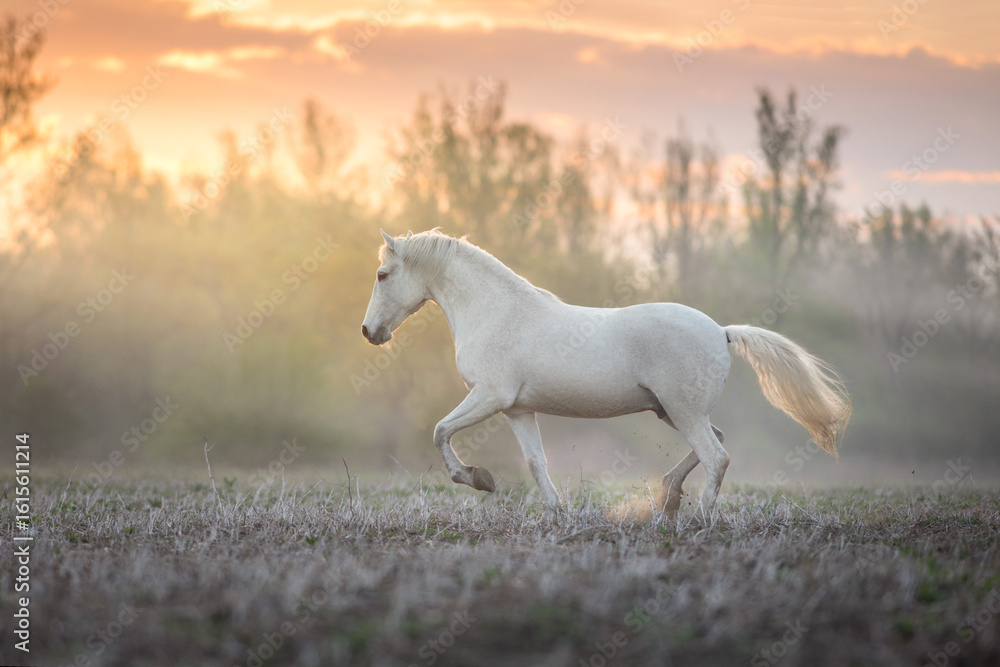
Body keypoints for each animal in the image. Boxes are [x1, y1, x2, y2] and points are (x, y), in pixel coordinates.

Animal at [361, 229, 851, 518]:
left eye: (382, 274)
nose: (370, 332)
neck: (496, 311)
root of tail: (722, 331)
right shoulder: (516, 410)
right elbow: (536, 461)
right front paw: (554, 511)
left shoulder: (488, 397)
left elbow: (441, 431)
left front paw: (478, 479)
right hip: (670, 412)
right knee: (717, 443)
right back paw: (669, 498)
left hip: (683, 412)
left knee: (717, 457)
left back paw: (699, 520)